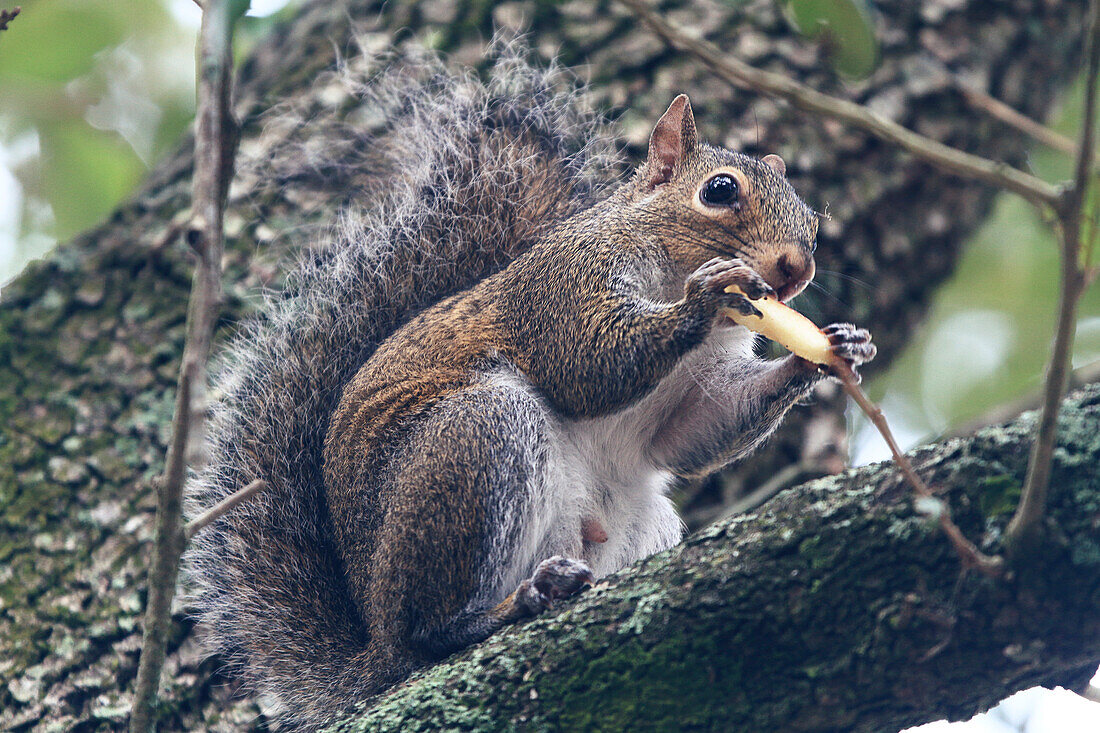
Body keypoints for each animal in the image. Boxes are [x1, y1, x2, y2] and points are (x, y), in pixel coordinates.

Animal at [187, 44, 875, 726]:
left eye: (813, 221)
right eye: (721, 190)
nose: (796, 269)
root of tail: (373, 643)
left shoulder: (698, 387)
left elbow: (694, 429)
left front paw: (830, 350)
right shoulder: (562, 288)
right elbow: (589, 363)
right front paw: (705, 296)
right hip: (480, 438)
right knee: (426, 636)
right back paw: (509, 604)